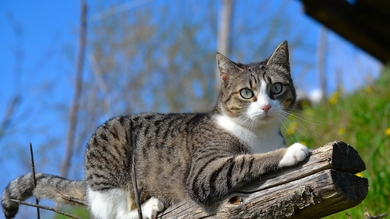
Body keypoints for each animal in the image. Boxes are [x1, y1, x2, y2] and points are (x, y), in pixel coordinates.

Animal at [2, 41, 308, 219]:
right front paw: (292, 151)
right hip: (110, 159)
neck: (260, 133)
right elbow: (246, 160)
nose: (266, 106)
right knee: (111, 215)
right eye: (247, 93)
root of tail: (88, 186)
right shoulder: (203, 173)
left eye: (276, 89)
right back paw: (148, 206)